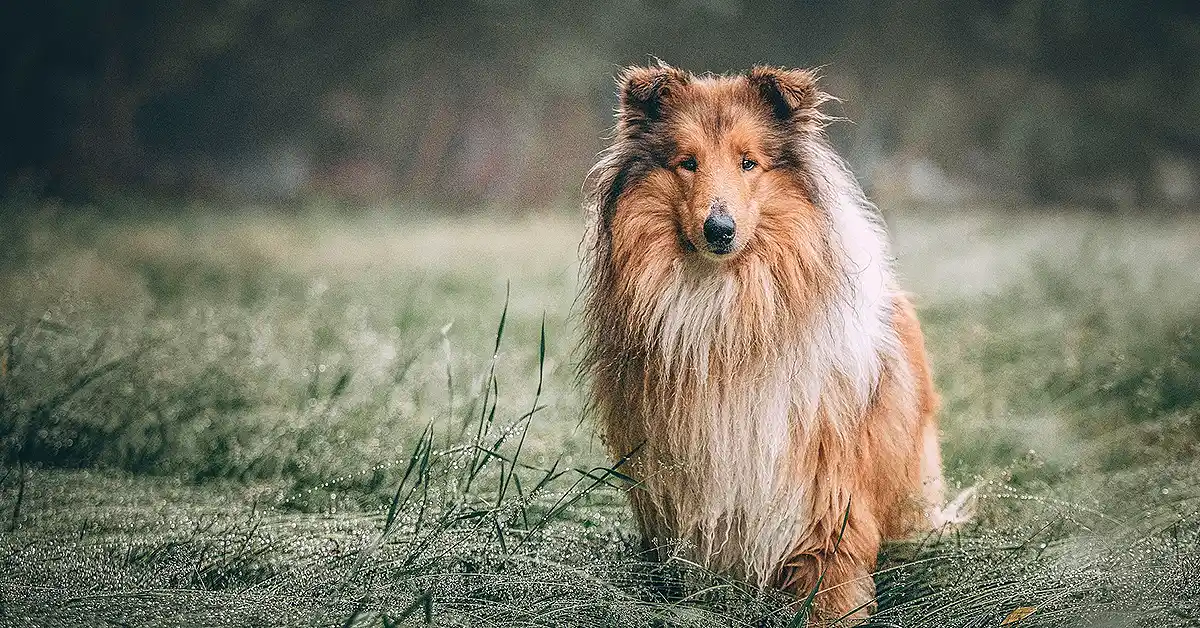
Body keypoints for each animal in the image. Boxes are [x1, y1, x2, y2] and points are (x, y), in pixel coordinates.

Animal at [580, 61, 964, 619]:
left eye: (748, 163)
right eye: (687, 163)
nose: (719, 229)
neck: (723, 308)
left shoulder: (827, 498)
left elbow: (832, 583)